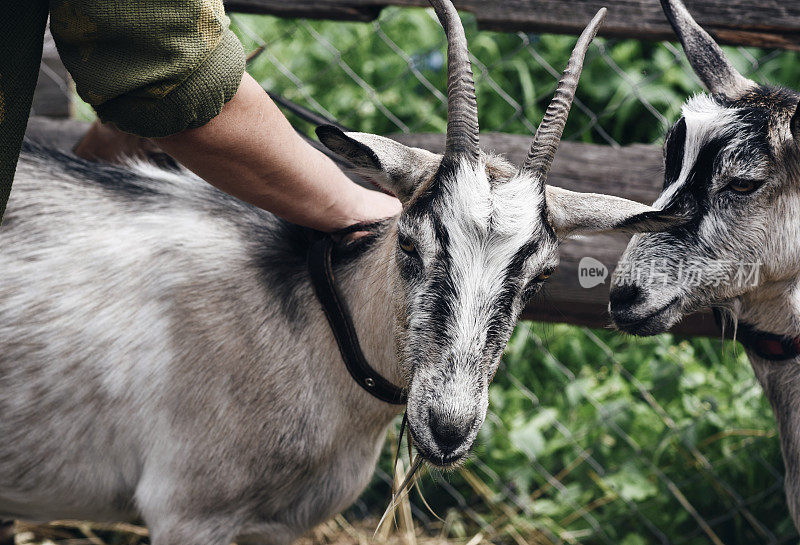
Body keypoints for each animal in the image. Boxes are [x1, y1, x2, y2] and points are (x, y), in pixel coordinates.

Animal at [0, 2, 676, 540]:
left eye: (539, 277)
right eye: (409, 245)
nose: (449, 426)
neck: (312, 330)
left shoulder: (272, 527)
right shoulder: (189, 513)